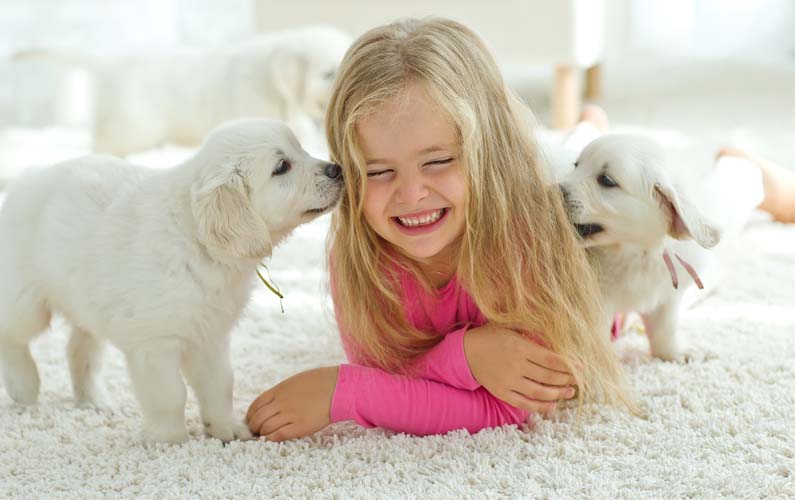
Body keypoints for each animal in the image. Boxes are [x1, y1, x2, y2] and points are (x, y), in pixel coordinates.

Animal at [0, 117, 346, 442]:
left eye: (300, 148)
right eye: (281, 167)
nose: (337, 169)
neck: (198, 241)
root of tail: (25, 180)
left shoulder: (210, 335)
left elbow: (220, 384)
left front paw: (226, 428)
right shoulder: (156, 342)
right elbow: (170, 394)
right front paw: (169, 438)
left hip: (86, 301)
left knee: (79, 348)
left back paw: (93, 399)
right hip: (27, 300)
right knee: (11, 334)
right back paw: (24, 384)